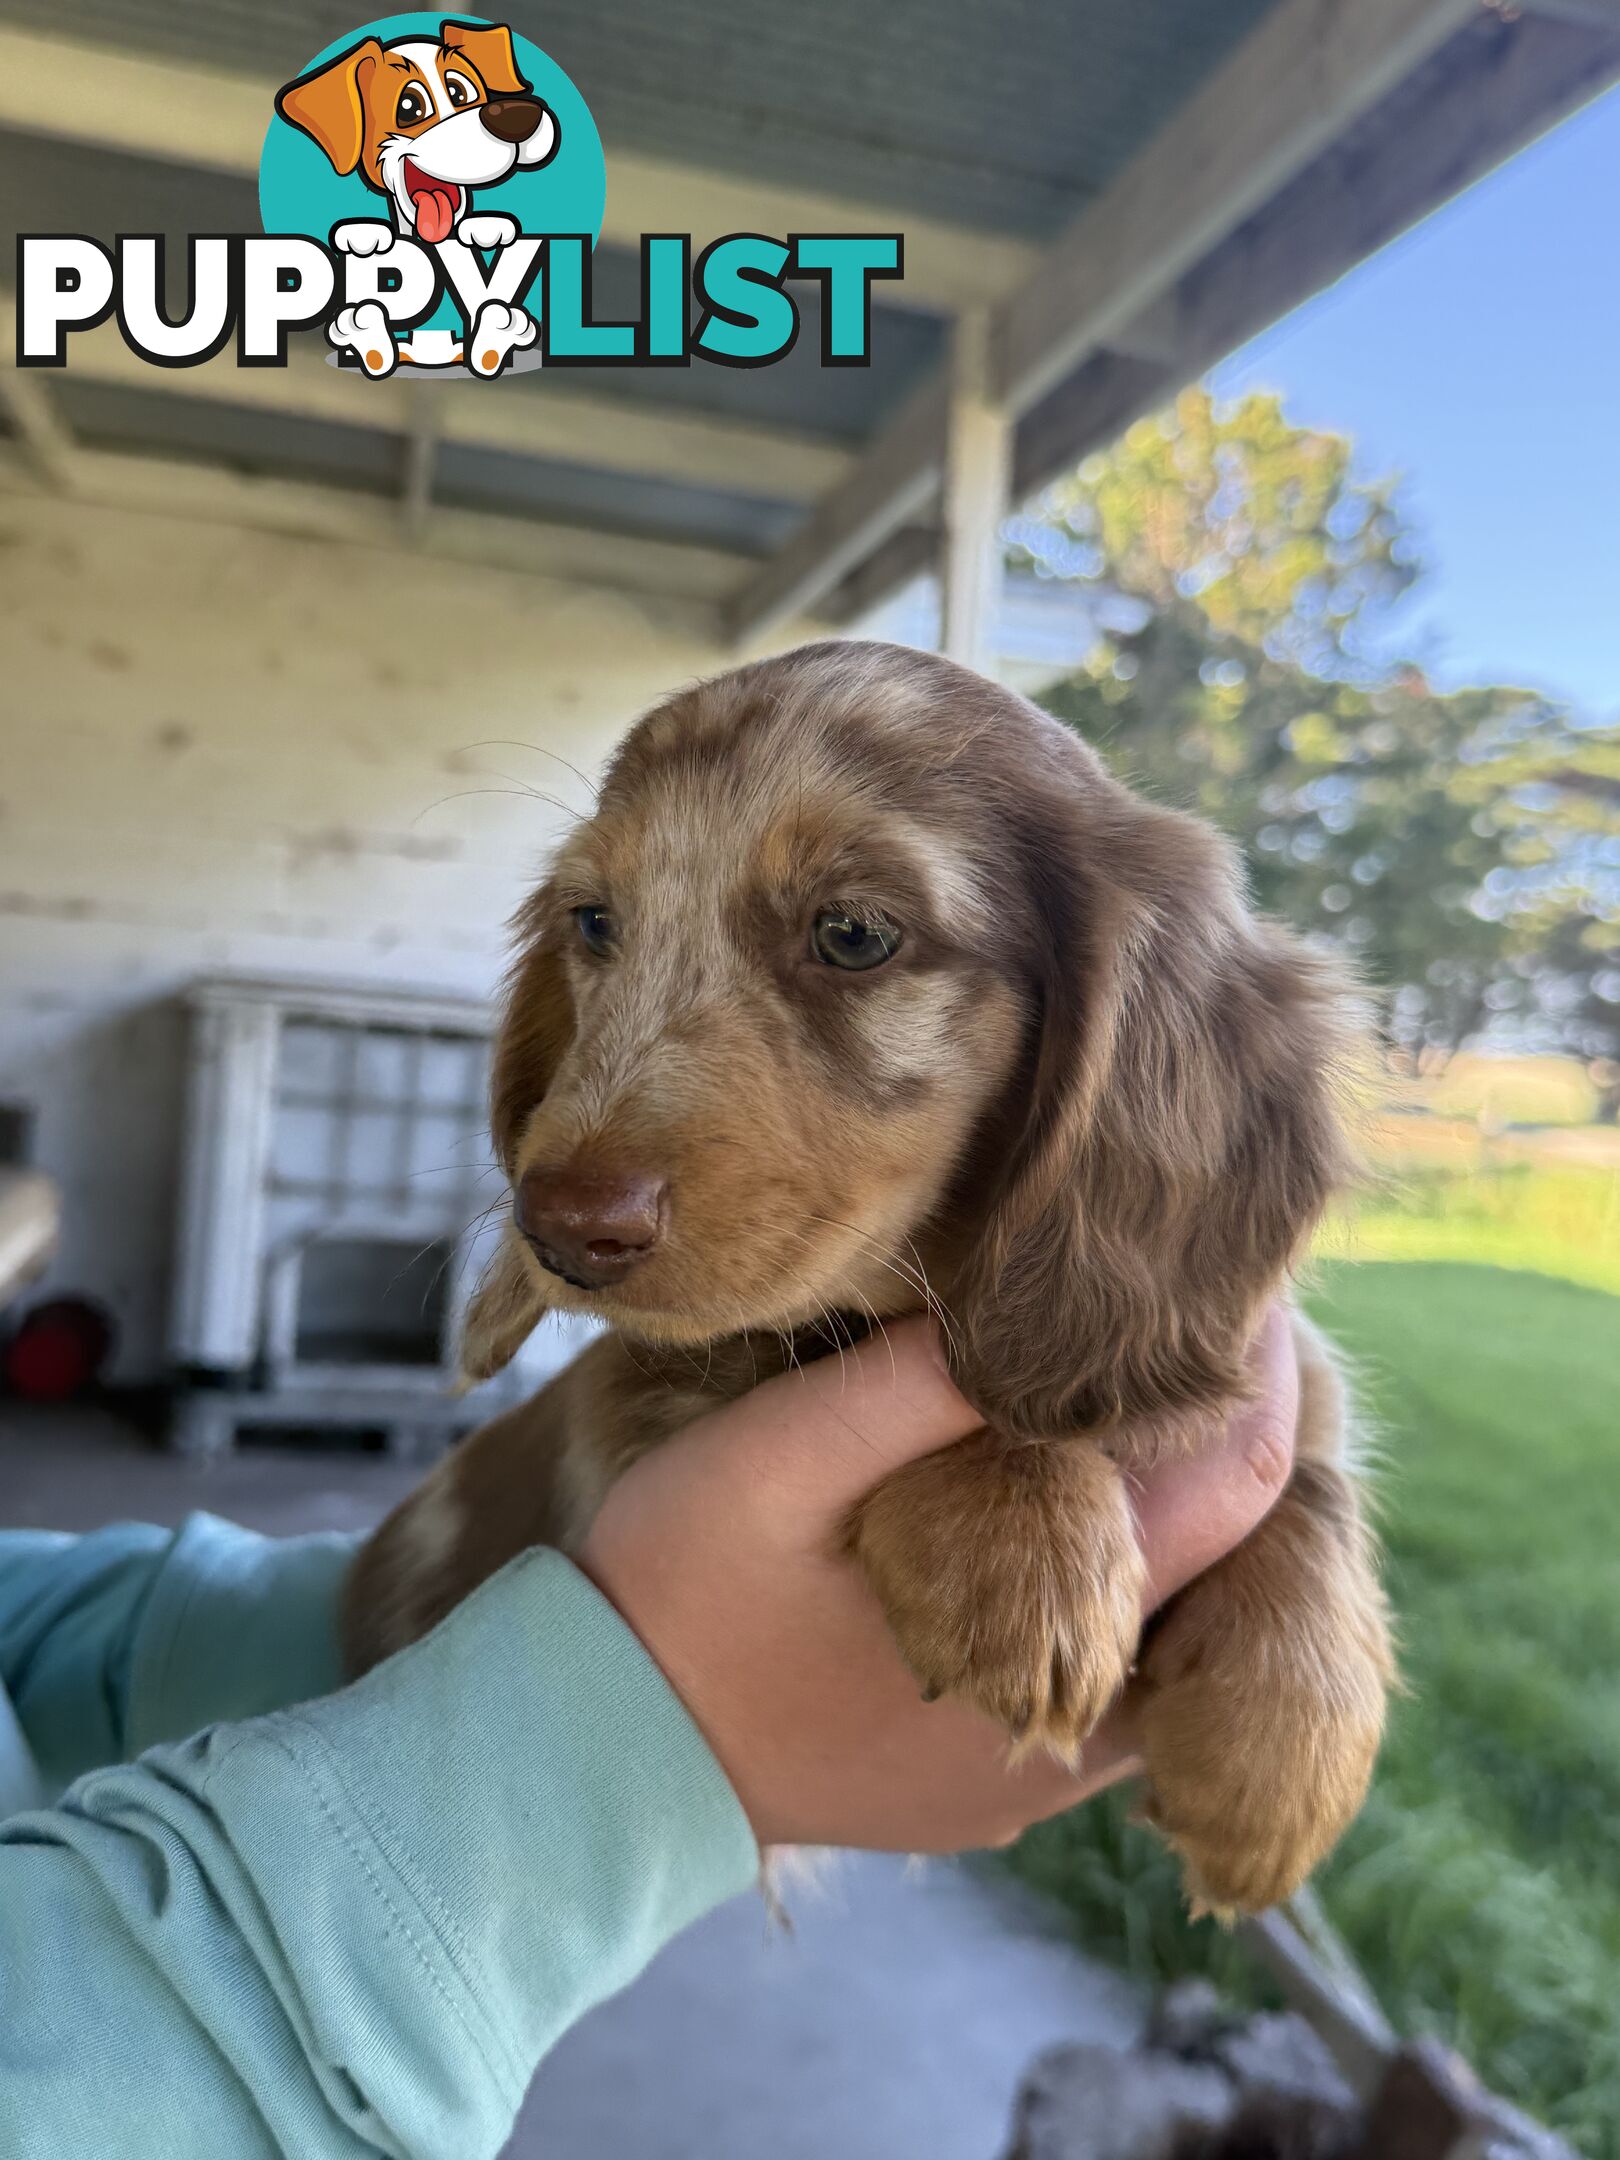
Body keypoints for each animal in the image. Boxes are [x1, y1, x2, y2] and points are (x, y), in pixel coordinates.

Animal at [352, 643, 1399, 1926]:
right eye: (594, 921)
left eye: (852, 933)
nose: (559, 1229)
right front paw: (1016, 1524)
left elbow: (1313, 1478)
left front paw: (1286, 1749)